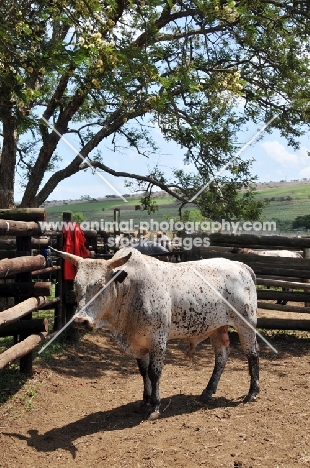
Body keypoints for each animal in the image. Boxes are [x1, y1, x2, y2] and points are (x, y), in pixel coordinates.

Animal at [51, 247, 260, 418]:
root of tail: (239, 265)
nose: (80, 321)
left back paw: (252, 392)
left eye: (101, 285)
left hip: (246, 324)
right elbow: (143, 372)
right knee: (222, 356)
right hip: (217, 327)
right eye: (76, 285)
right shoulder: (139, 343)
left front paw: (155, 406)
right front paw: (145, 402)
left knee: (252, 354)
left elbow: (154, 372)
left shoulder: (158, 340)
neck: (130, 290)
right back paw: (207, 392)